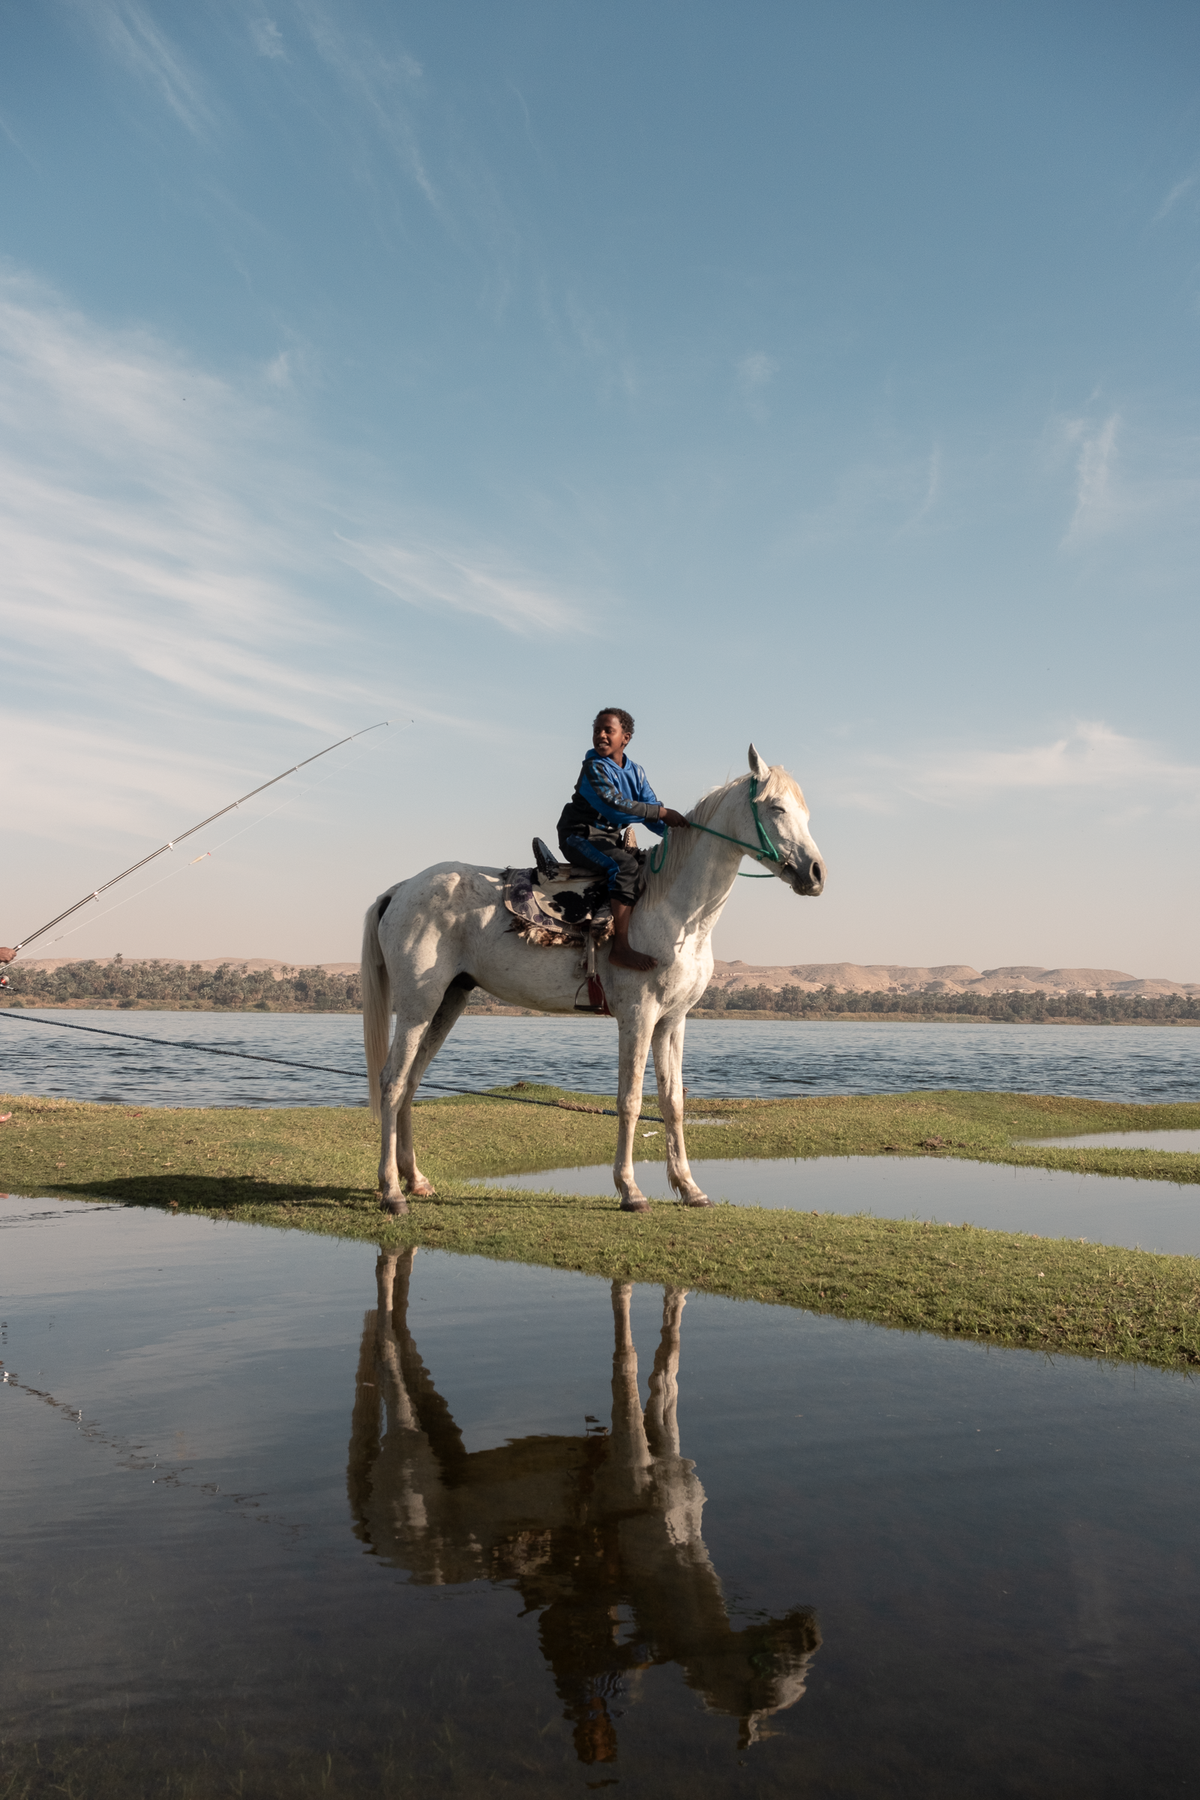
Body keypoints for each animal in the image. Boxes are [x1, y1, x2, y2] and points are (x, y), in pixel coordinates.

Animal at [348, 1247, 822, 1763]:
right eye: (775, 1682)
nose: (810, 1633)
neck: (670, 1540)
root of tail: (377, 1539)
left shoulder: (662, 1434)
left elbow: (666, 1371)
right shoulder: (628, 1452)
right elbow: (628, 1366)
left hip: (441, 1437)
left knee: (402, 1330)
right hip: (410, 1451)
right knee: (388, 1350)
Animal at [362, 744, 824, 1213]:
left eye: (805, 813)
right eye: (777, 807)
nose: (816, 873)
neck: (672, 910)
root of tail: (401, 889)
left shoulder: (672, 1021)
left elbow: (672, 1101)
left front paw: (689, 1187)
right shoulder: (638, 1016)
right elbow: (631, 1101)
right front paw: (630, 1190)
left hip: (448, 1000)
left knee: (411, 1080)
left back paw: (416, 1180)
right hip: (418, 1003)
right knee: (391, 1082)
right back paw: (391, 1190)